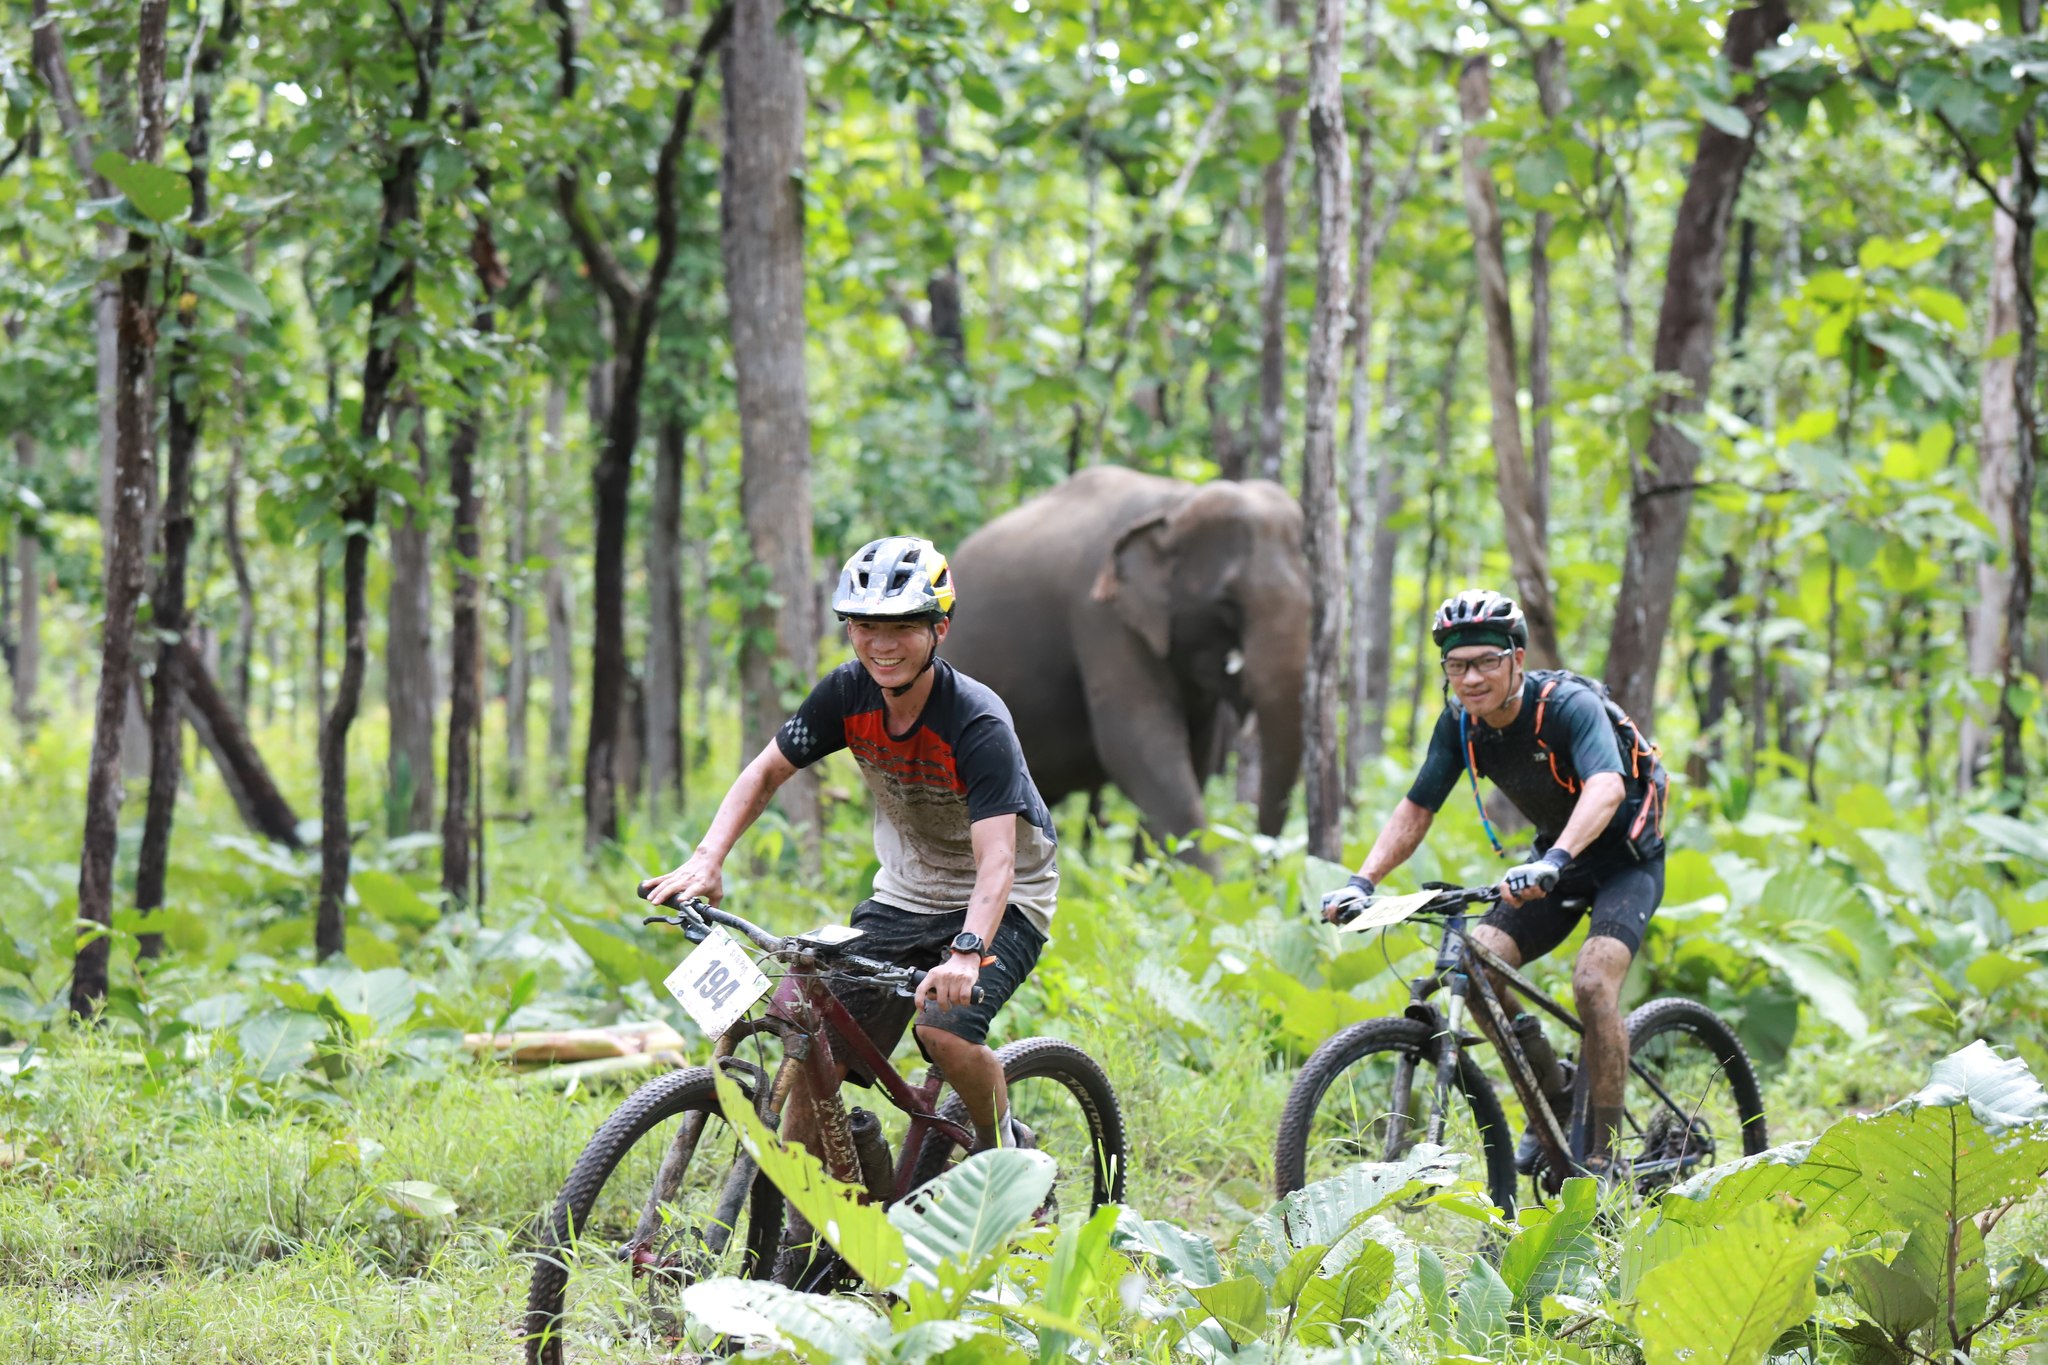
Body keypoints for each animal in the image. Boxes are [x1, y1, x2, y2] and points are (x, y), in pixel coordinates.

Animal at [942, 470, 1310, 843]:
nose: (1264, 846)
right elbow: (1138, 746)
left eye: (1312, 594)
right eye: (1227, 602)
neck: (1175, 504)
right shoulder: (1101, 617)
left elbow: (1196, 757)